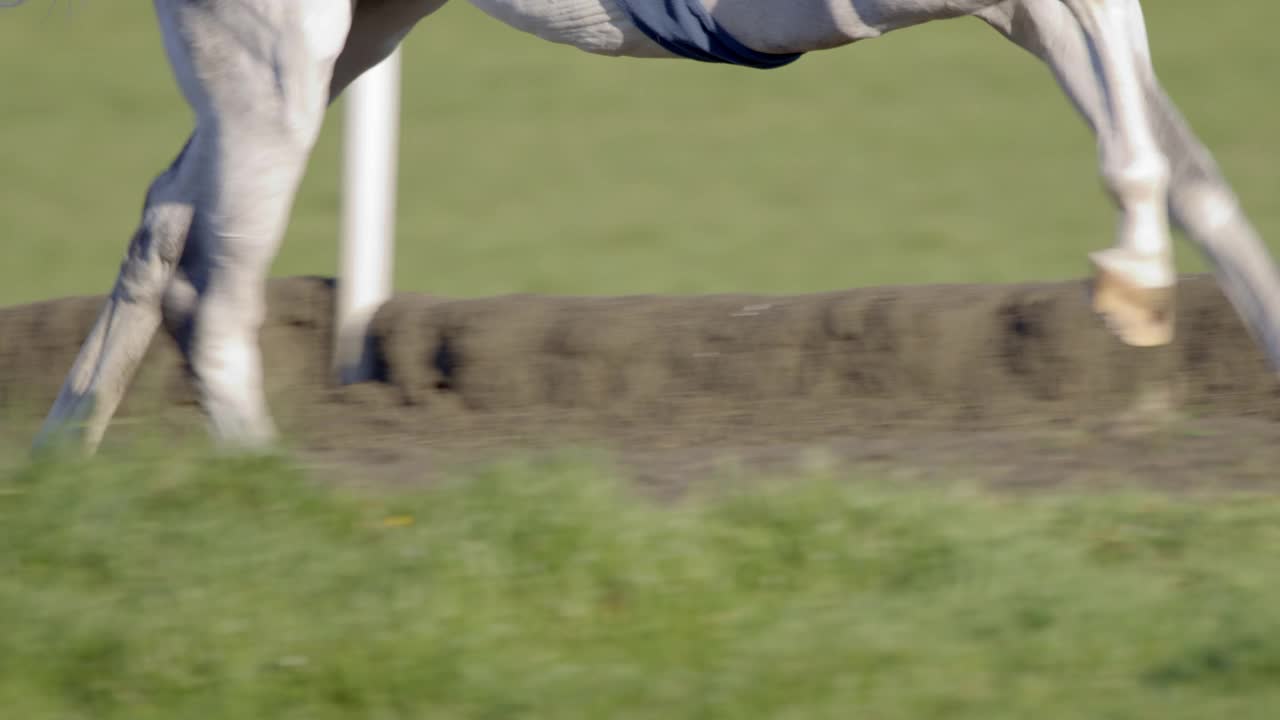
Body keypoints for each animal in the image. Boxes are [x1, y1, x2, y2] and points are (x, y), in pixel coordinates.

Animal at [22, 0, 1280, 448]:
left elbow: (1193, 176)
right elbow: (1139, 153)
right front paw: (1132, 285)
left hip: (342, 41)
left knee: (165, 224)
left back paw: (62, 463)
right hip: (277, 52)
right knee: (219, 297)